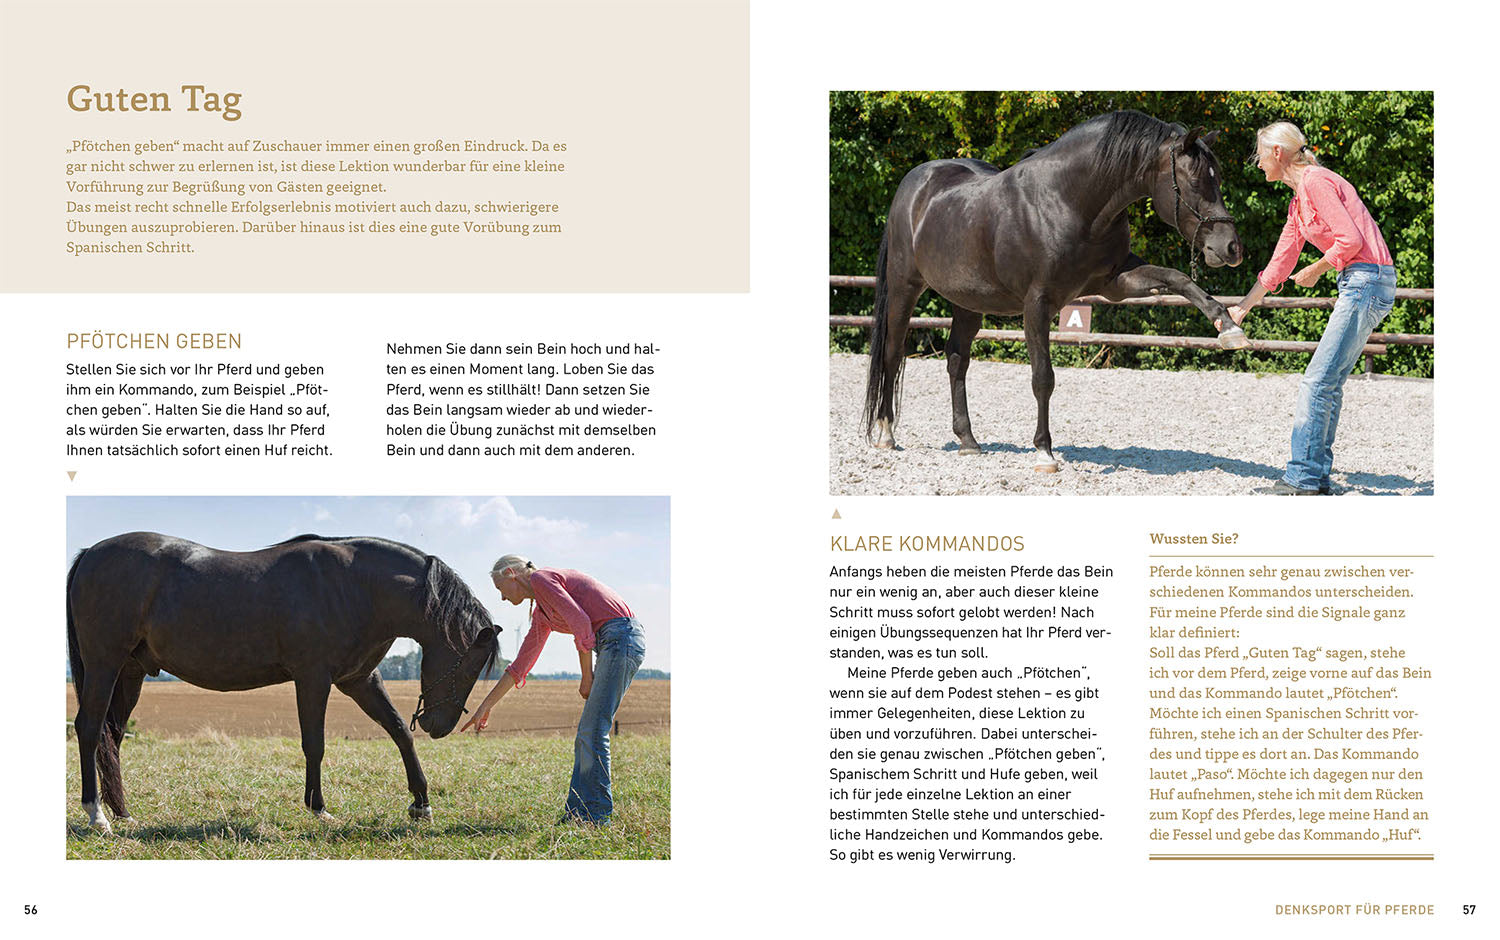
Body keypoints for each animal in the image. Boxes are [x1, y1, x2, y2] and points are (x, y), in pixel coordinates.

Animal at [66, 532, 501, 833]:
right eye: (469, 668)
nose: (438, 726)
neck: (353, 586)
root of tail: (90, 554)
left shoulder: (359, 679)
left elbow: (398, 732)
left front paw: (421, 804)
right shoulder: (313, 678)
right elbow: (315, 744)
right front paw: (319, 808)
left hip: (131, 672)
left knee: (112, 735)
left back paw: (123, 812)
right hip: (104, 663)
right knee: (89, 728)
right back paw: (97, 816)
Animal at [862, 110, 1246, 470]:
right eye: (1194, 180)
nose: (1231, 248)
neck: (1068, 201)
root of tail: (915, 183)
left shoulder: (1115, 282)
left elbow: (1178, 279)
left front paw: (1228, 327)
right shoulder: (1038, 303)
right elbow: (1043, 378)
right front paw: (1044, 452)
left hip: (967, 301)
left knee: (957, 360)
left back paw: (968, 440)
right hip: (904, 288)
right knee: (892, 354)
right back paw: (886, 434)